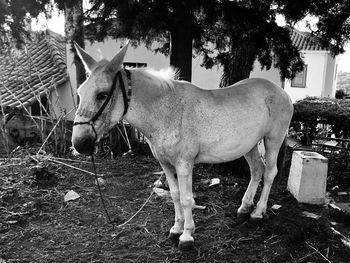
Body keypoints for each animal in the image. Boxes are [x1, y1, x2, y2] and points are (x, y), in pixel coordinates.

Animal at [72, 42, 294, 251]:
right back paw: (244, 208)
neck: (166, 111)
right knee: (257, 170)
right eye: (80, 92)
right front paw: (176, 229)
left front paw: (187, 236)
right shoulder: (165, 164)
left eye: (101, 94)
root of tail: (282, 92)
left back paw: (257, 212)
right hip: (249, 146)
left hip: (273, 140)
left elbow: (187, 199)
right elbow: (175, 195)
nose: (79, 143)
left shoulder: (184, 164)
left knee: (269, 173)